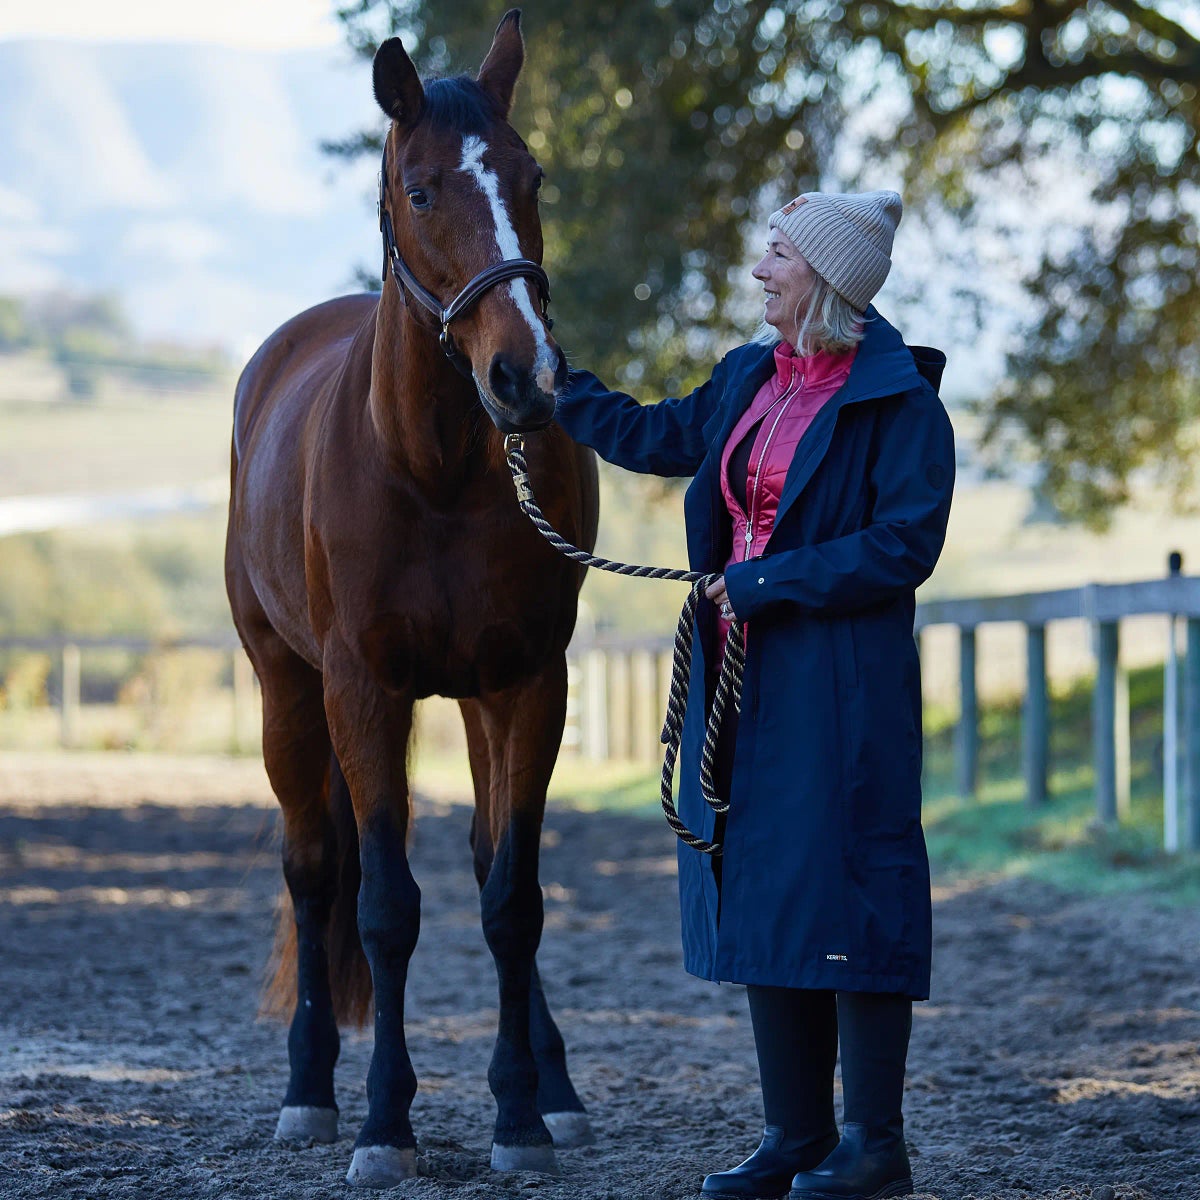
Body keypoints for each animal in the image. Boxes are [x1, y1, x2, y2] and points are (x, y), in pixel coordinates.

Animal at [224, 12, 599, 1187]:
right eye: (424, 190)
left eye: (533, 177)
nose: (528, 378)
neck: (432, 468)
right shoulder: (363, 691)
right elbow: (384, 909)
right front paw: (385, 1123)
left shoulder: (529, 682)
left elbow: (513, 898)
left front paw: (521, 1114)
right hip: (287, 692)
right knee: (313, 872)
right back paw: (308, 1093)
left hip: (479, 700)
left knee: (487, 864)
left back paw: (553, 1088)